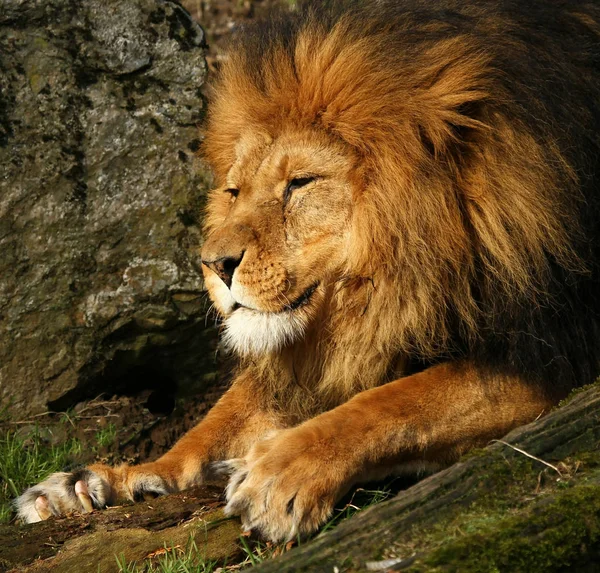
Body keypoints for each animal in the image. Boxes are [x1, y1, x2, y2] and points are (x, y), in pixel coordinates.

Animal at [15, 0, 600, 540]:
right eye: (234, 191)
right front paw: (103, 480)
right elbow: (216, 423)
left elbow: (396, 402)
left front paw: (279, 474)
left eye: (300, 183)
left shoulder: (555, 347)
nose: (213, 265)